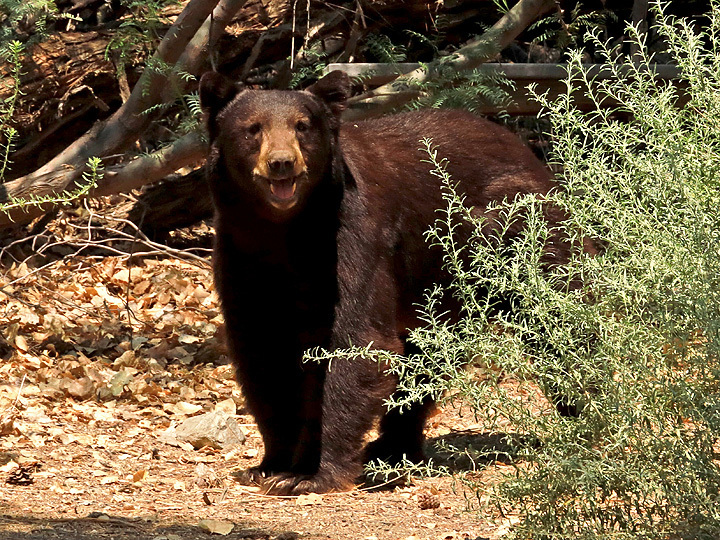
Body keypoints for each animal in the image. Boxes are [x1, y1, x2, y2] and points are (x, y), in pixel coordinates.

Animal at [199, 69, 578, 495]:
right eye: (253, 128)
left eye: (302, 126)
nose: (282, 163)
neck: (286, 232)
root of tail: (531, 155)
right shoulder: (241, 252)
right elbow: (263, 350)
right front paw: (270, 464)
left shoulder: (352, 237)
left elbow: (357, 341)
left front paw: (312, 473)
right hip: (439, 289)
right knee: (427, 357)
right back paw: (392, 447)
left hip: (522, 237)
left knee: (558, 323)